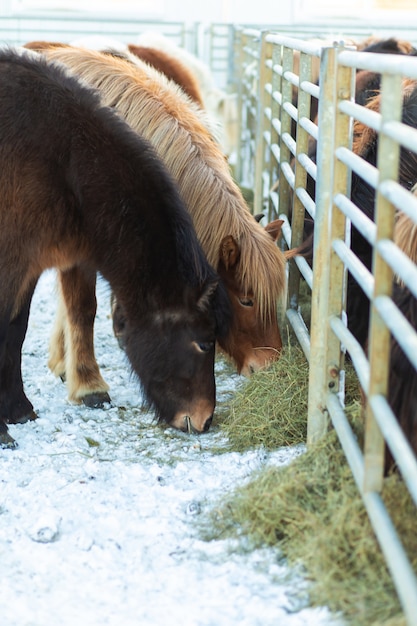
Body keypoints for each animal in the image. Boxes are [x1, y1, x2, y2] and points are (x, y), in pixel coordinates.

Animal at [0, 51, 231, 446]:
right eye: (204, 343)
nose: (205, 419)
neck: (64, 161)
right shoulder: (11, 264)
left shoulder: (29, 266)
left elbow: (16, 330)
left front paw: (18, 410)